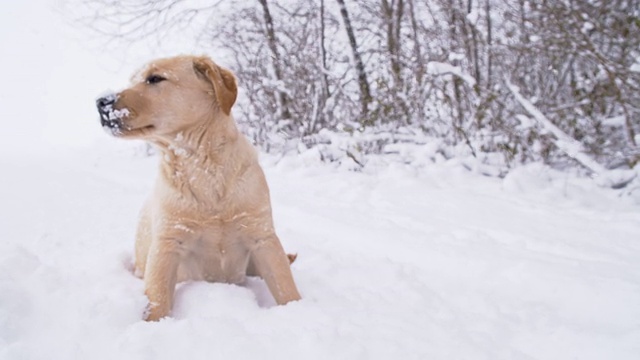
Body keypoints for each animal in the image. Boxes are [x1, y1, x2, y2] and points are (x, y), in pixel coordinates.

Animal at [96, 55, 302, 320]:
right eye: (132, 79)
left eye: (155, 78)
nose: (101, 102)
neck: (202, 167)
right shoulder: (167, 243)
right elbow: (157, 297)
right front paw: (154, 323)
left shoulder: (262, 236)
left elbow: (286, 287)